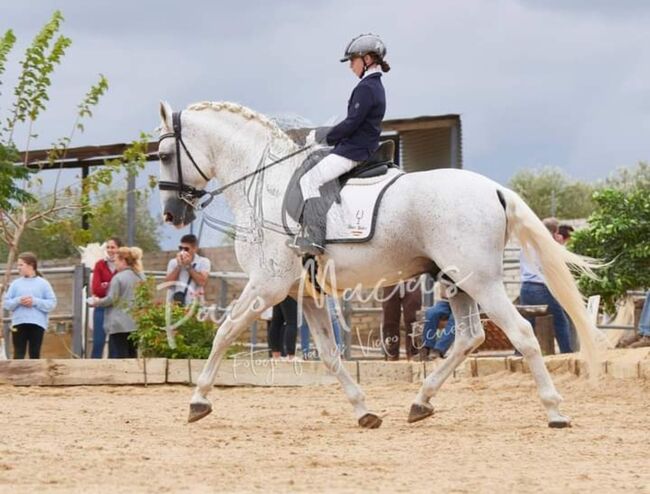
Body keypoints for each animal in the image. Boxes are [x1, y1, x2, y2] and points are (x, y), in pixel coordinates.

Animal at [157, 100, 604, 428]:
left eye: (162, 155)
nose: (171, 215)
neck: (263, 185)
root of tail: (494, 188)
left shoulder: (267, 284)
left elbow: (224, 333)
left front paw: (198, 401)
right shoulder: (305, 292)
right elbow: (330, 354)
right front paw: (365, 411)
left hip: (482, 282)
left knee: (522, 334)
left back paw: (555, 411)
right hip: (456, 282)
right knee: (468, 338)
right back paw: (420, 403)